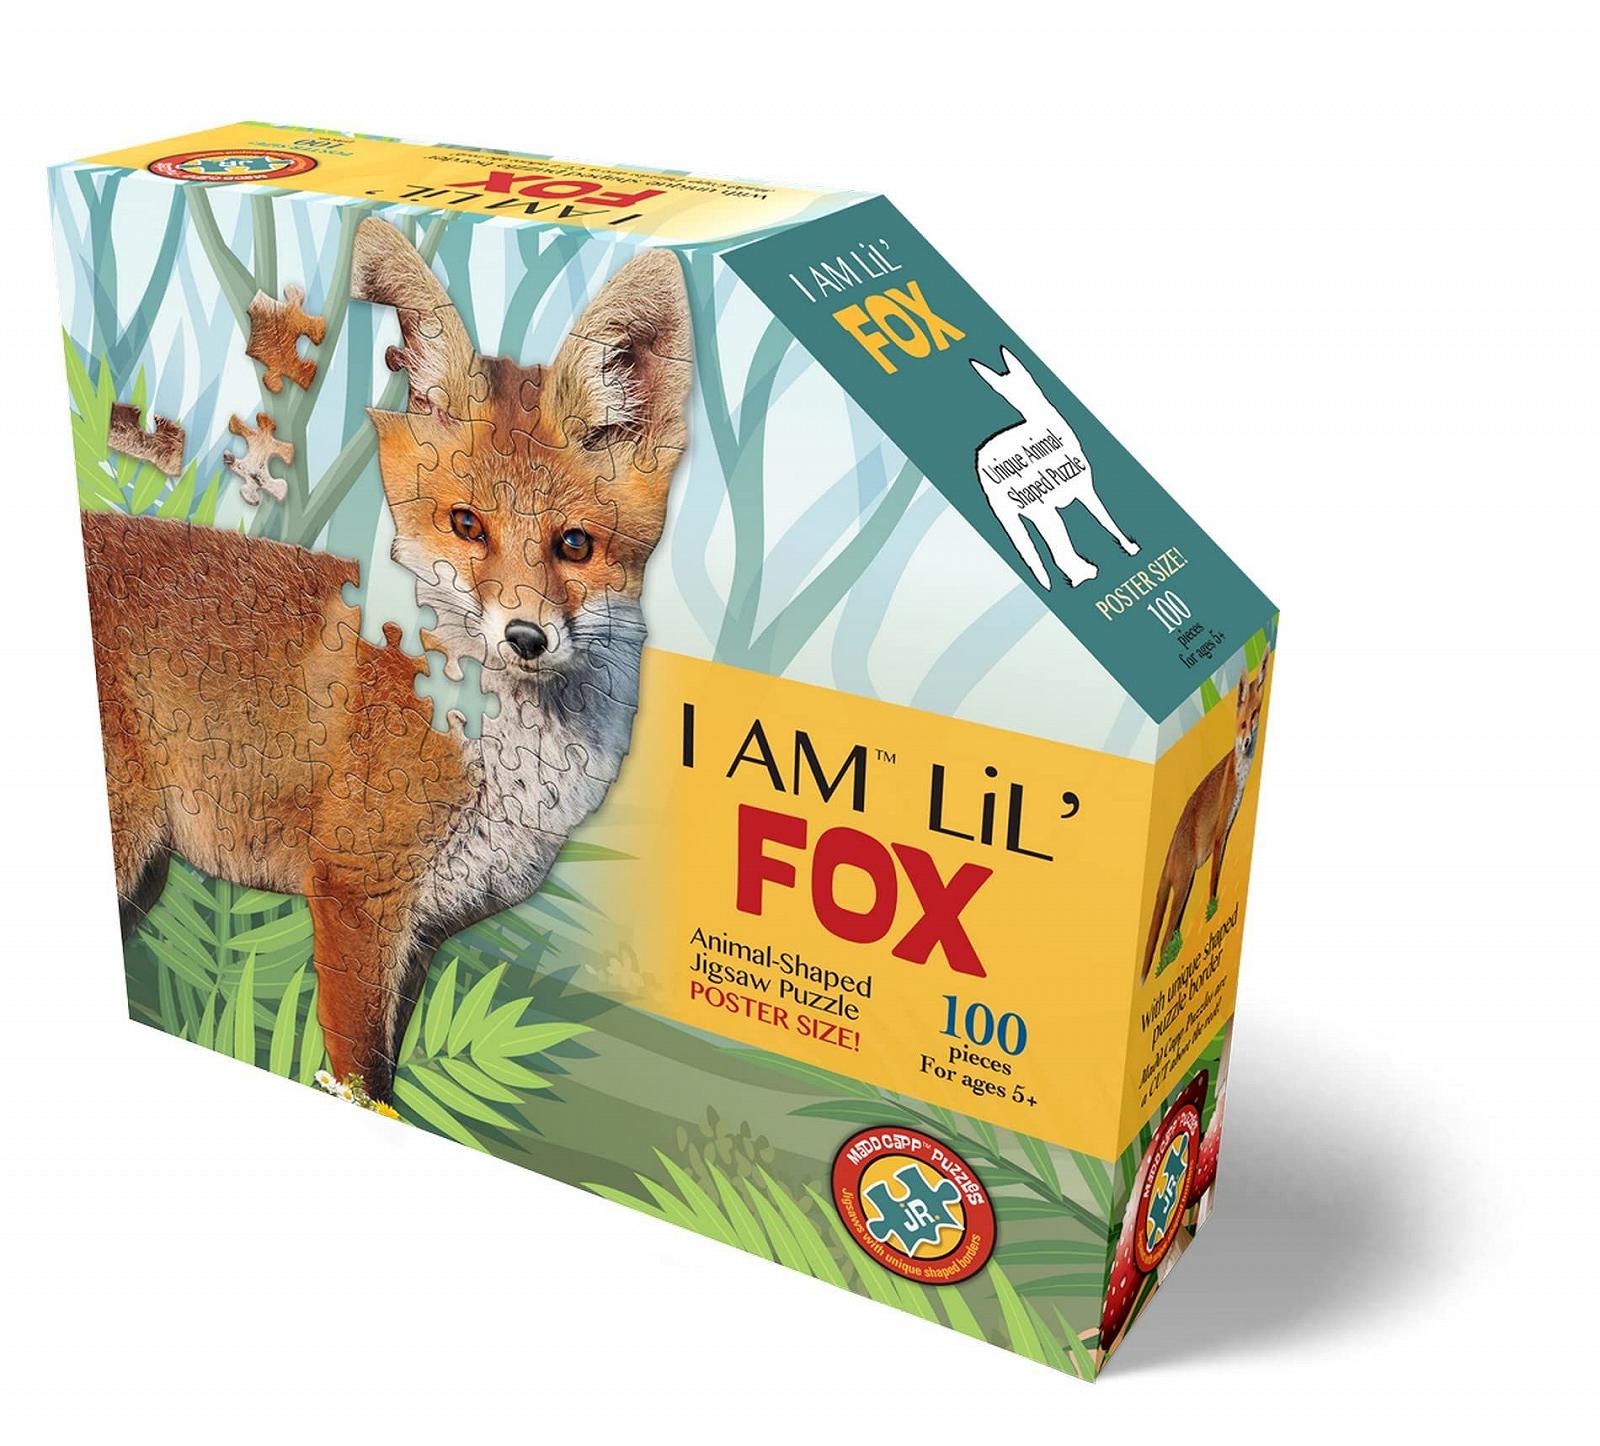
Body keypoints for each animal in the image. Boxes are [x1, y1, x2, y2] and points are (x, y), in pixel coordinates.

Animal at [82, 218, 691, 1100]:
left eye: (575, 545)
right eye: (467, 525)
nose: (526, 638)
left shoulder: (425, 928)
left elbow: (390, 1076)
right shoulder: (354, 894)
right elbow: (359, 1076)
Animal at [1140, 649, 1270, 984]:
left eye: (1256, 715)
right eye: (1242, 722)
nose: (1246, 742)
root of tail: (1169, 849)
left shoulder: (1228, 831)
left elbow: (1218, 874)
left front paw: (1214, 909)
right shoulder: (1220, 831)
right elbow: (1214, 880)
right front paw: (1213, 909)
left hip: (1184, 890)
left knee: (1168, 938)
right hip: (1184, 885)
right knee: (1162, 944)